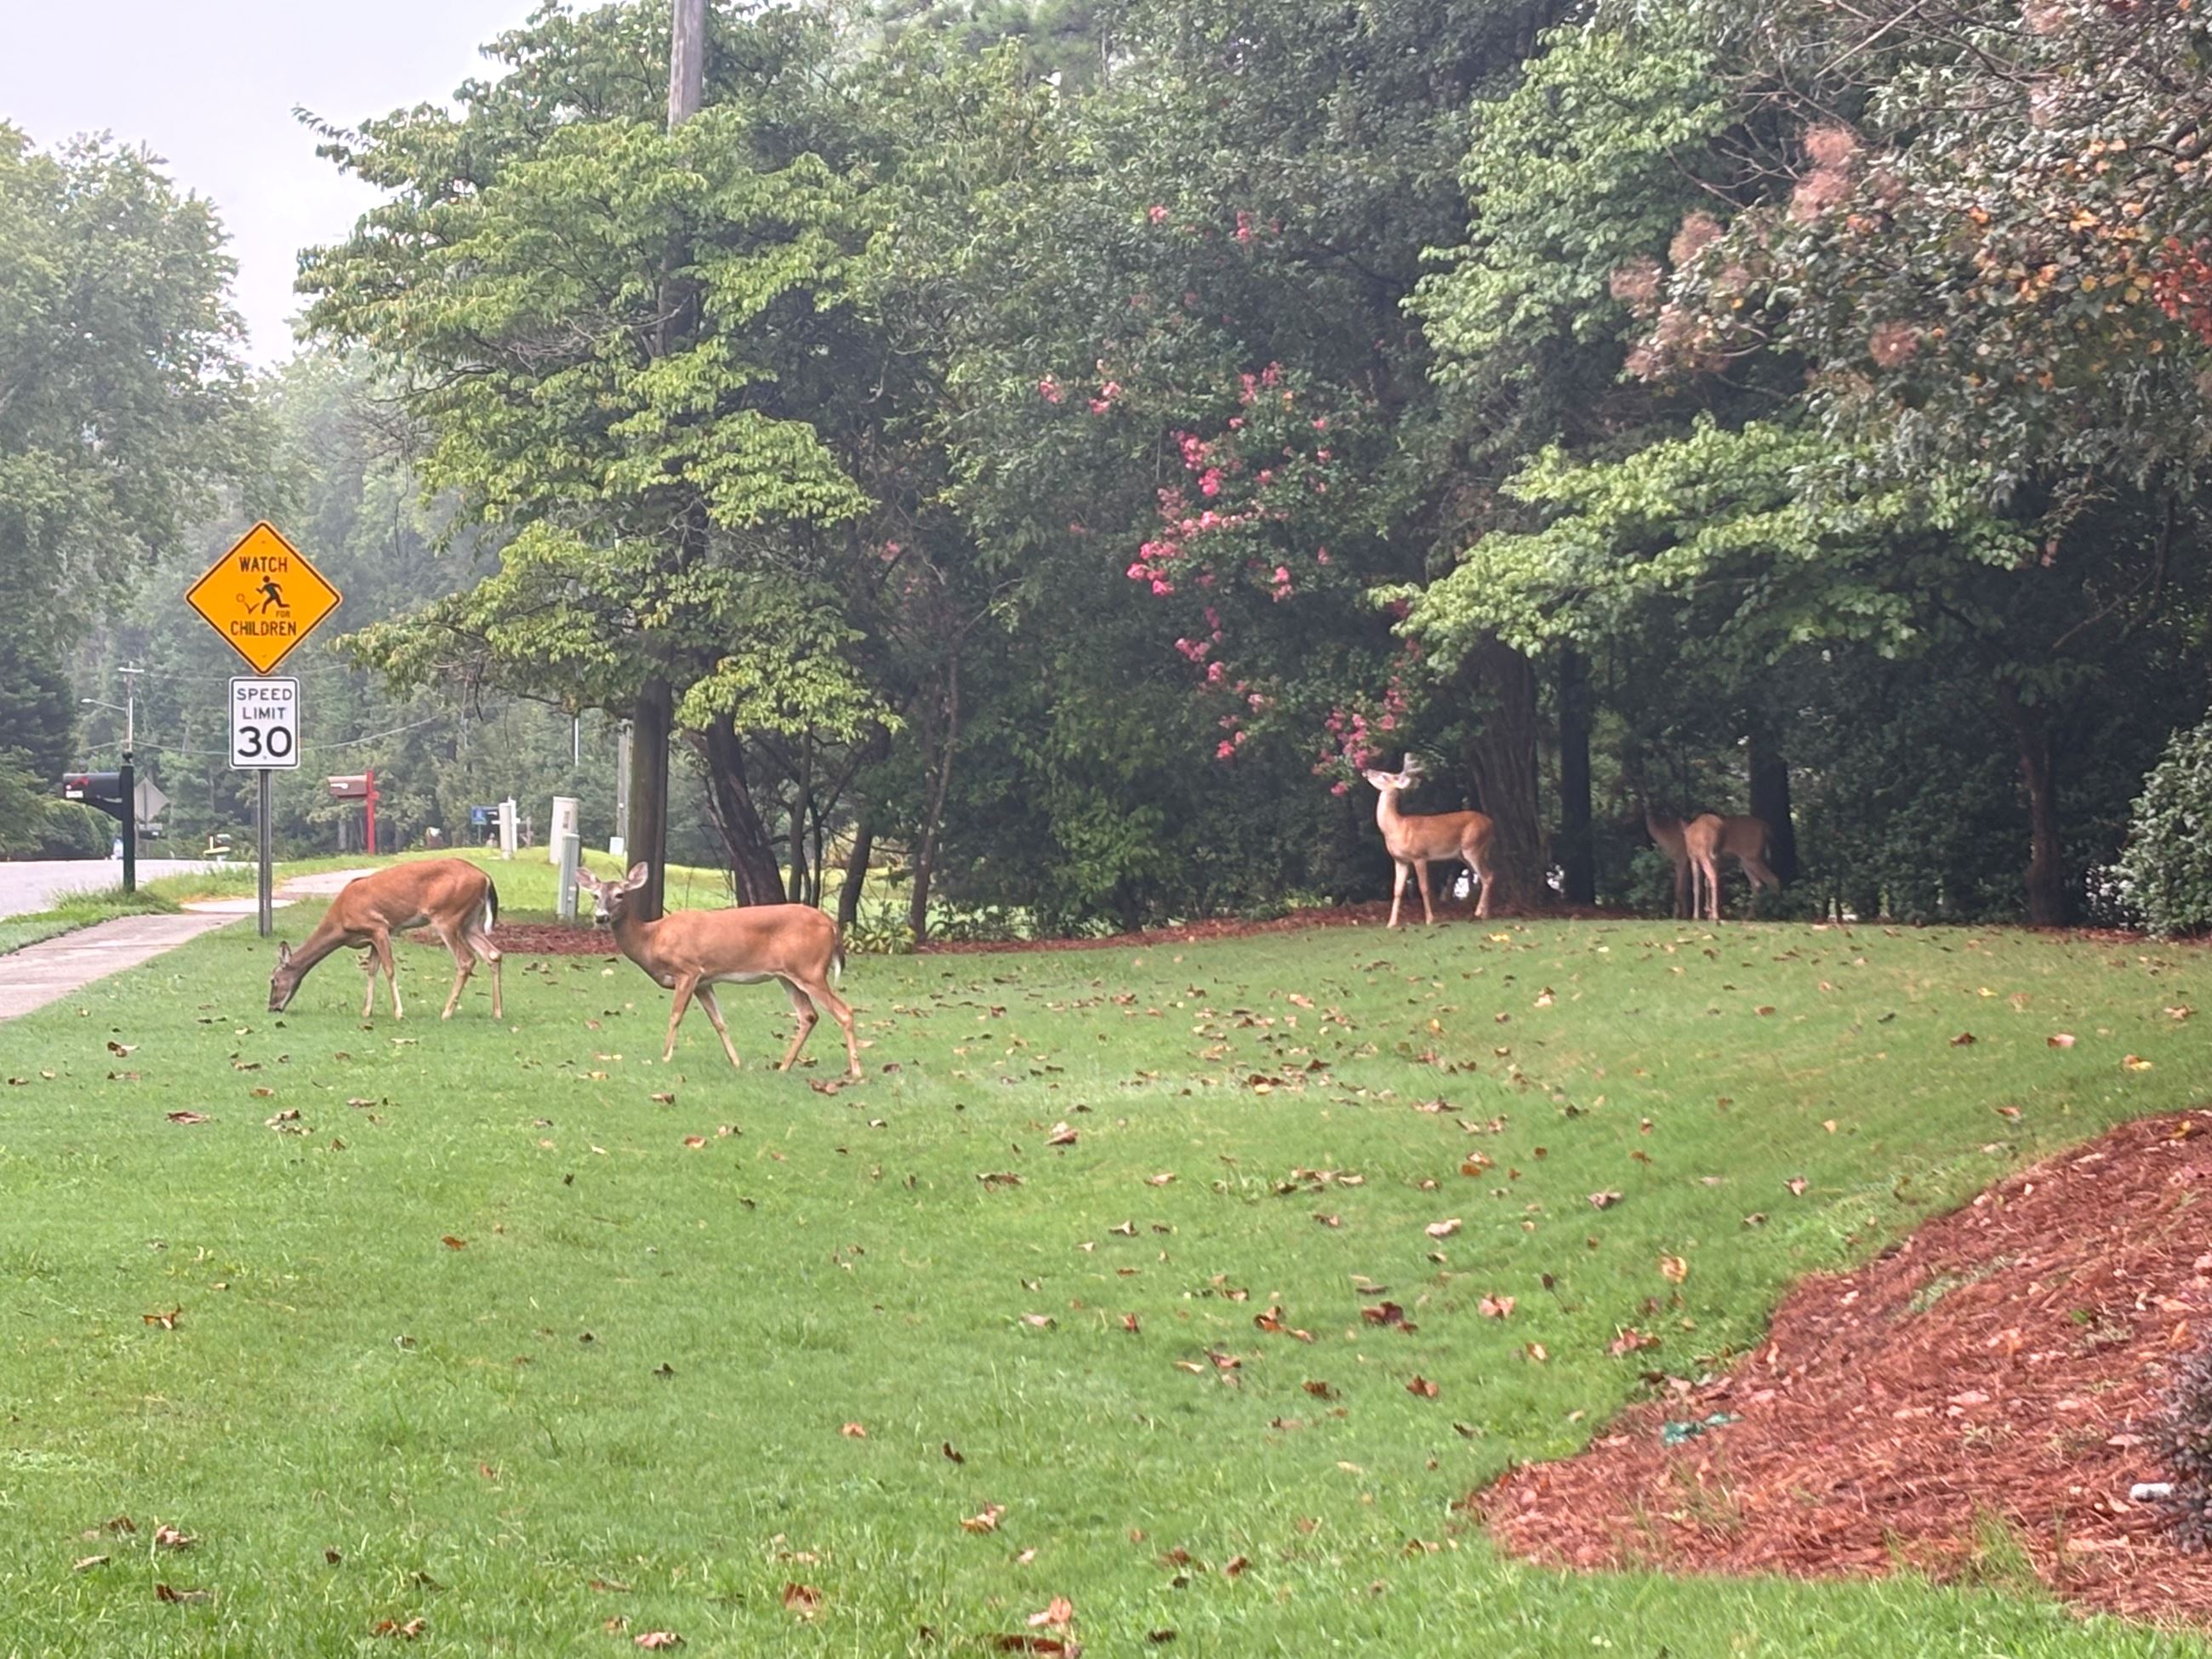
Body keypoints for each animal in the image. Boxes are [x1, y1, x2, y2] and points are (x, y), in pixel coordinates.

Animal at [269, 858, 502, 1019]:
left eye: (273, 980)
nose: (272, 1007)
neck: (340, 922)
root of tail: (485, 877)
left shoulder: (379, 927)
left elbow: (389, 968)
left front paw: (398, 1012)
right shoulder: (374, 936)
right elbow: (372, 969)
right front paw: (366, 1011)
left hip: (447, 916)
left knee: (466, 960)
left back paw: (446, 1013)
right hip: (471, 922)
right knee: (494, 953)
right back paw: (497, 1012)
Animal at [577, 863, 861, 1078]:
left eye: (620, 895)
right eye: (595, 895)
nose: (600, 917)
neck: (652, 938)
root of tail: (831, 924)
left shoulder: (688, 970)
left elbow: (675, 1015)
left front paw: (665, 1056)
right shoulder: (704, 981)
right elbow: (719, 1022)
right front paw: (736, 1062)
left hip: (809, 969)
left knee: (844, 1011)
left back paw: (856, 1072)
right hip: (788, 975)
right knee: (808, 1015)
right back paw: (783, 1067)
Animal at [1362, 753, 1497, 926]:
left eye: (1385, 775)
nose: (1366, 770)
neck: (1396, 828)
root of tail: (1491, 823)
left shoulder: (1419, 855)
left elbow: (1424, 887)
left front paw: (1429, 919)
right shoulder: (1400, 860)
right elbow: (1397, 890)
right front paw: (1391, 923)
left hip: (1473, 846)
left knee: (1488, 876)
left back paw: (1479, 912)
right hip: (1467, 853)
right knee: (1487, 875)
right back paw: (1485, 914)